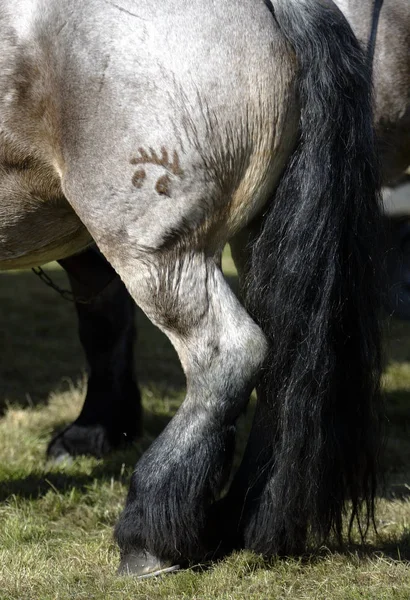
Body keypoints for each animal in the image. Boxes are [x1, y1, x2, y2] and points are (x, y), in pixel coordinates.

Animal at [0, 0, 384, 576]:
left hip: (161, 254)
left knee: (230, 355)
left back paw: (150, 530)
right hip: (257, 238)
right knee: (284, 361)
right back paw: (238, 517)